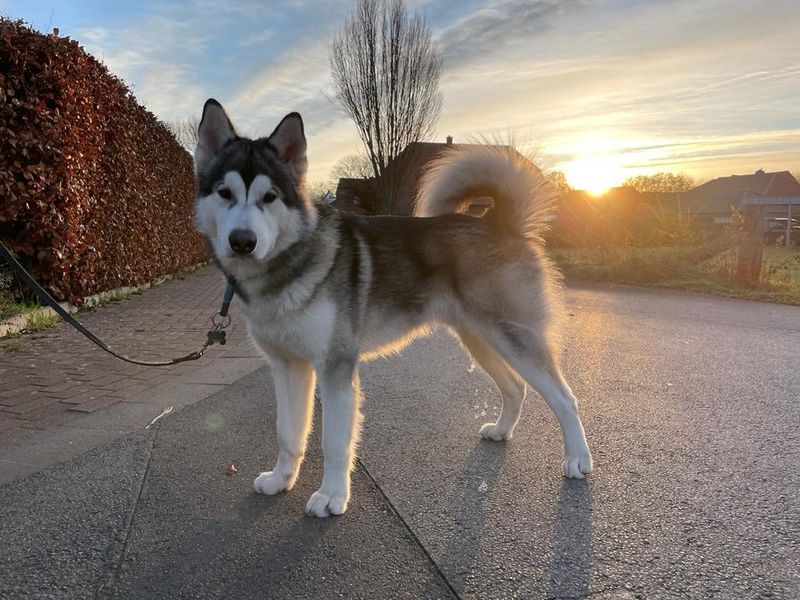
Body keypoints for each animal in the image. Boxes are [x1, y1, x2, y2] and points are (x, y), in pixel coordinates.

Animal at [195, 98, 592, 516]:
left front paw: (332, 495)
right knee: (515, 388)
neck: (287, 266)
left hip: (515, 338)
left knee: (565, 397)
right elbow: (288, 432)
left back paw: (578, 459)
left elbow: (334, 442)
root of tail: (499, 222)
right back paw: (501, 431)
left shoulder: (335, 368)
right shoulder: (288, 367)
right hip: (479, 339)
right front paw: (280, 480)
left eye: (270, 197)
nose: (242, 241)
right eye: (224, 192)